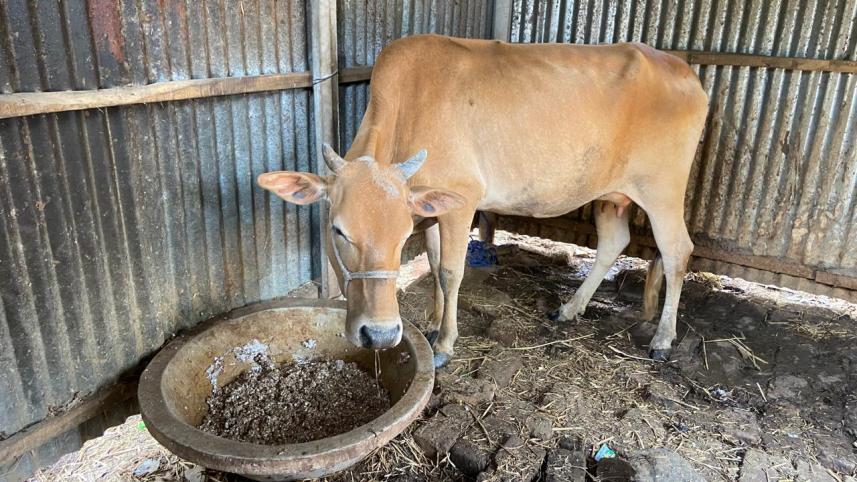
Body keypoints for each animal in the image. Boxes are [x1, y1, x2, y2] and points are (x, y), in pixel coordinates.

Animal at [258, 35, 708, 368]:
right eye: (339, 231)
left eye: (402, 236)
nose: (380, 333)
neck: (407, 108)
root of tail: (684, 70)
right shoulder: (432, 208)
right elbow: (434, 264)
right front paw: (432, 320)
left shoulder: (460, 202)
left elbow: (451, 271)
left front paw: (444, 343)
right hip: (610, 195)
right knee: (613, 243)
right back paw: (569, 309)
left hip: (662, 190)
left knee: (677, 251)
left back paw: (662, 339)